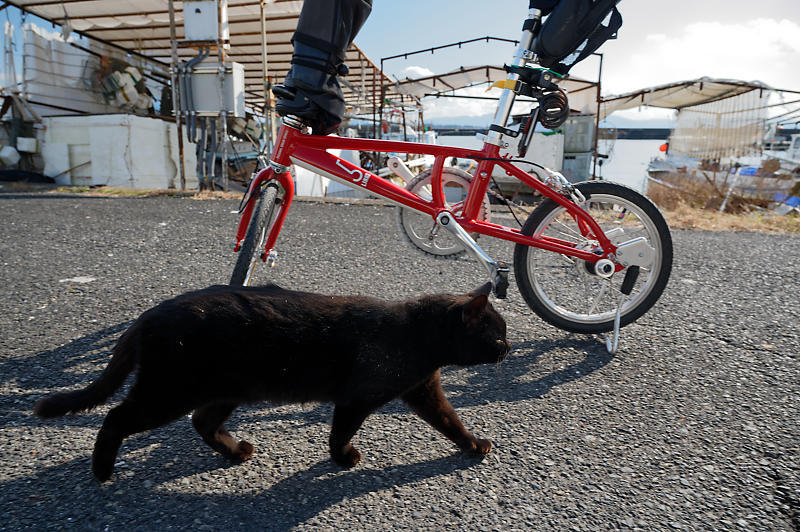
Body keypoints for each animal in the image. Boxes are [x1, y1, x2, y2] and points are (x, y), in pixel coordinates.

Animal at [34, 282, 510, 482]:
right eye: (497, 334)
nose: (508, 349)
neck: (415, 334)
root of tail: (147, 315)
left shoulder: (424, 390)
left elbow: (451, 423)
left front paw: (474, 446)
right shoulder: (356, 398)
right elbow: (340, 433)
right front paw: (343, 459)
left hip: (225, 390)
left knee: (202, 422)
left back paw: (236, 452)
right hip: (169, 391)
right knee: (115, 417)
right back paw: (102, 472)